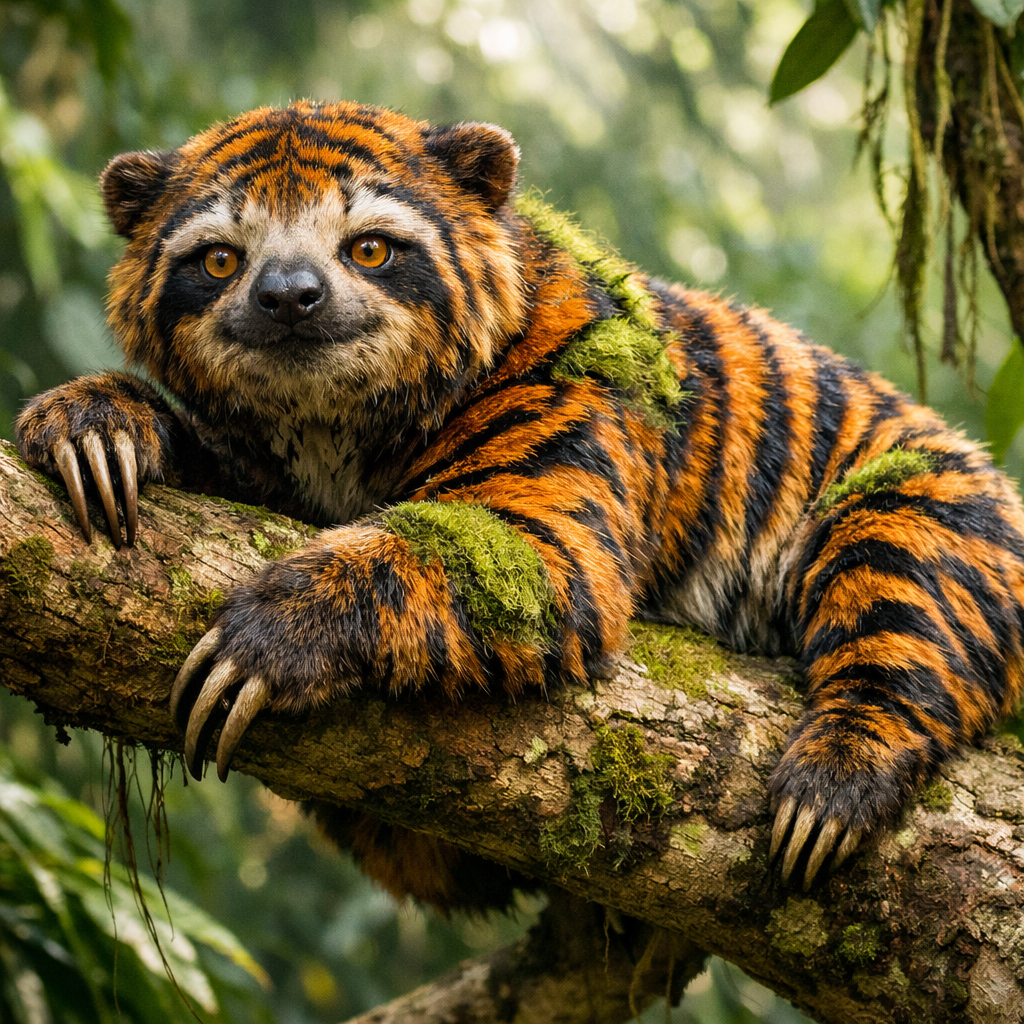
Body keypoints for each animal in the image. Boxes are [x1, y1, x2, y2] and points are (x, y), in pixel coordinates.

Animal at [15, 101, 1024, 906]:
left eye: (368, 246)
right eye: (222, 260)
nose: (291, 298)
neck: (336, 431)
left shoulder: (551, 512)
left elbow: (406, 555)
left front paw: (264, 640)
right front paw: (97, 423)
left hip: (915, 513)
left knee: (897, 655)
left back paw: (827, 789)